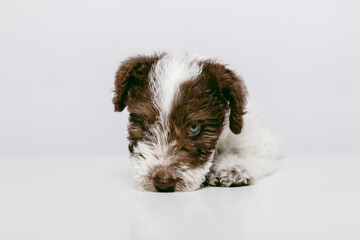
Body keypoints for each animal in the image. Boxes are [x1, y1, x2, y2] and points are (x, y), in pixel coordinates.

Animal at [112, 51, 282, 192]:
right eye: (148, 126)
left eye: (194, 128)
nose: (163, 183)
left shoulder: (262, 141)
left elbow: (247, 153)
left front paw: (231, 169)